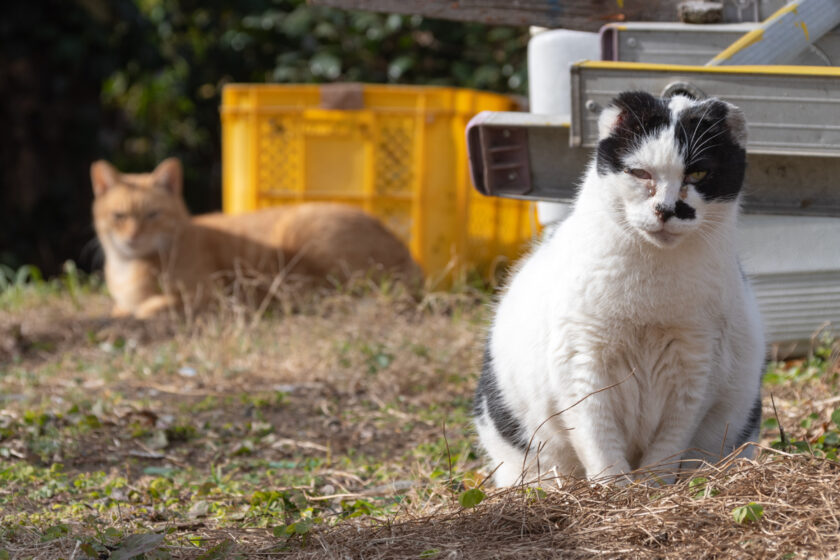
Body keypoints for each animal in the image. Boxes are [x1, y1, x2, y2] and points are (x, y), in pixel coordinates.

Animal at [92, 158, 424, 318]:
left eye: (152, 215)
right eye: (119, 216)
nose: (133, 236)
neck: (127, 266)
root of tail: (409, 255)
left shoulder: (207, 294)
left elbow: (150, 306)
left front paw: (138, 309)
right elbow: (123, 307)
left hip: (300, 233)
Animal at [476, 92, 764, 486]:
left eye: (698, 173)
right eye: (640, 173)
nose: (666, 209)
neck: (651, 290)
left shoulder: (696, 367)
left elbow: (668, 446)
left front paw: (652, 488)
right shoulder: (582, 364)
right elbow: (598, 439)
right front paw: (614, 488)